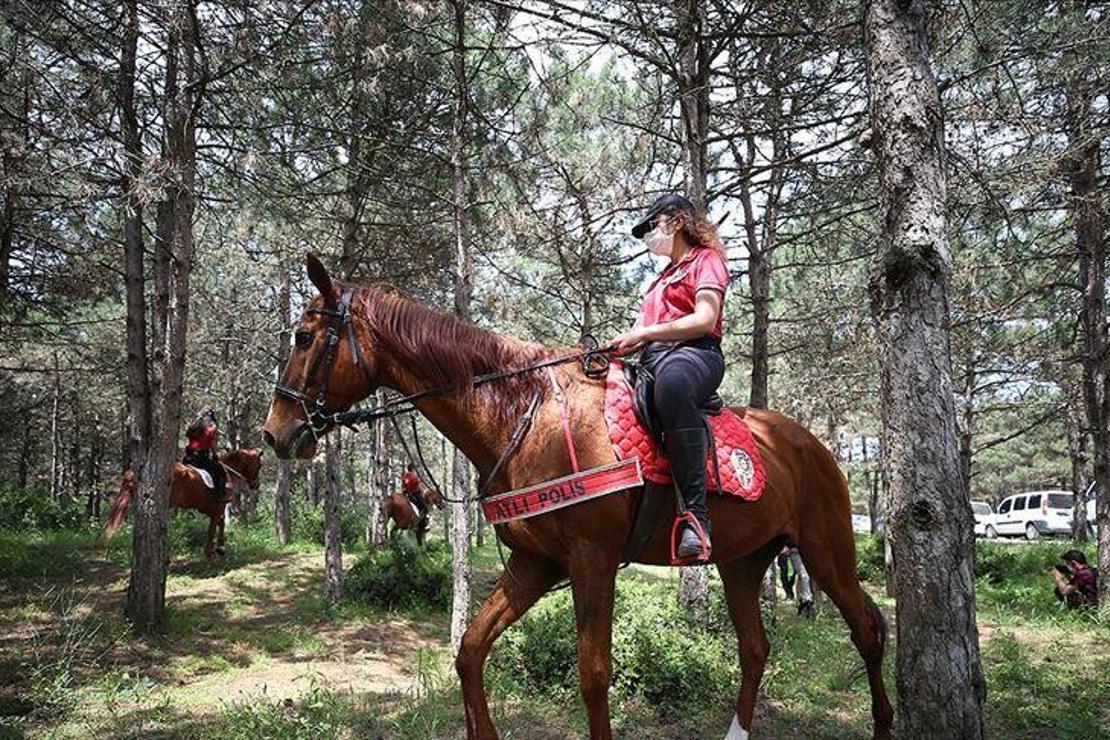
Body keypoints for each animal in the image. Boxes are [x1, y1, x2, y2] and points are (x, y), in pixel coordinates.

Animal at [98, 448, 264, 559]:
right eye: (259, 465)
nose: (256, 485)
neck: (227, 472)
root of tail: (134, 474)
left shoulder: (211, 509)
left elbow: (218, 523)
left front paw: (218, 548)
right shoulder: (218, 507)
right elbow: (216, 526)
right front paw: (214, 550)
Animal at [261, 255, 892, 740]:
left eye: (304, 337)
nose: (274, 433)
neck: (523, 416)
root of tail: (814, 445)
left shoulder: (593, 560)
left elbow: (592, 675)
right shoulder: (534, 563)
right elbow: (470, 649)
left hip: (827, 549)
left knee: (865, 627)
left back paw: (883, 722)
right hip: (743, 560)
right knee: (756, 647)